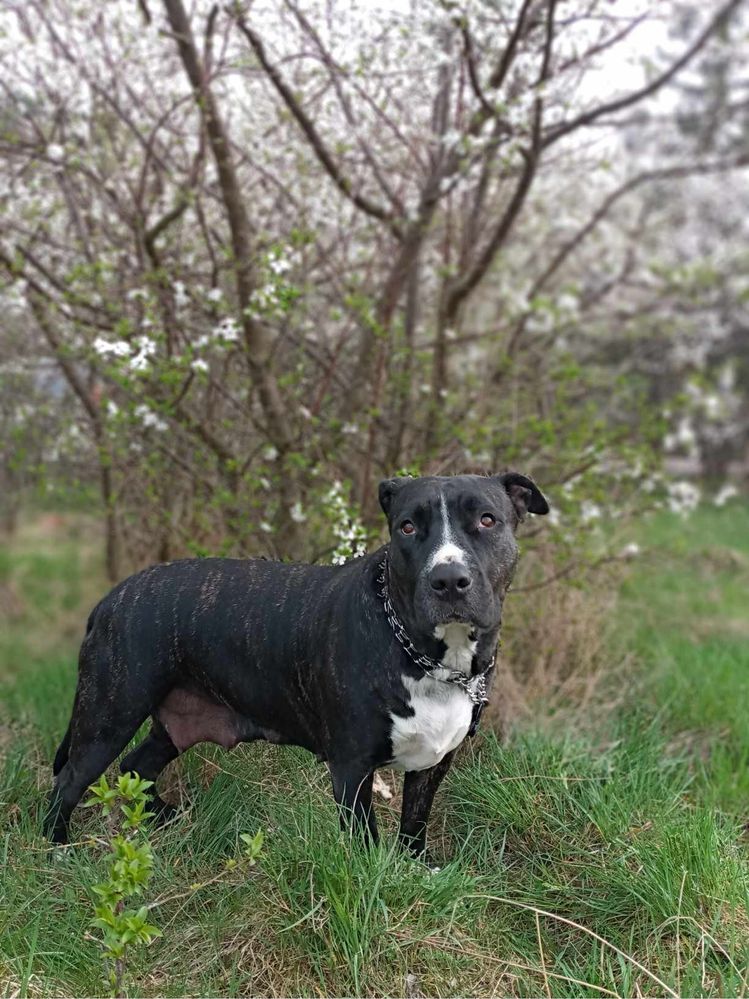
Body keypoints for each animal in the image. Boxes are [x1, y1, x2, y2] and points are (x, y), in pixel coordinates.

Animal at [48, 474, 548, 852]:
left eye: (487, 520)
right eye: (407, 527)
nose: (448, 579)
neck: (423, 655)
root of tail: (110, 599)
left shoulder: (432, 763)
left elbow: (414, 825)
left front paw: (417, 871)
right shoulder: (351, 767)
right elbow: (365, 843)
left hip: (176, 720)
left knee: (139, 765)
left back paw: (166, 818)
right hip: (109, 715)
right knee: (69, 781)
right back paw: (57, 848)